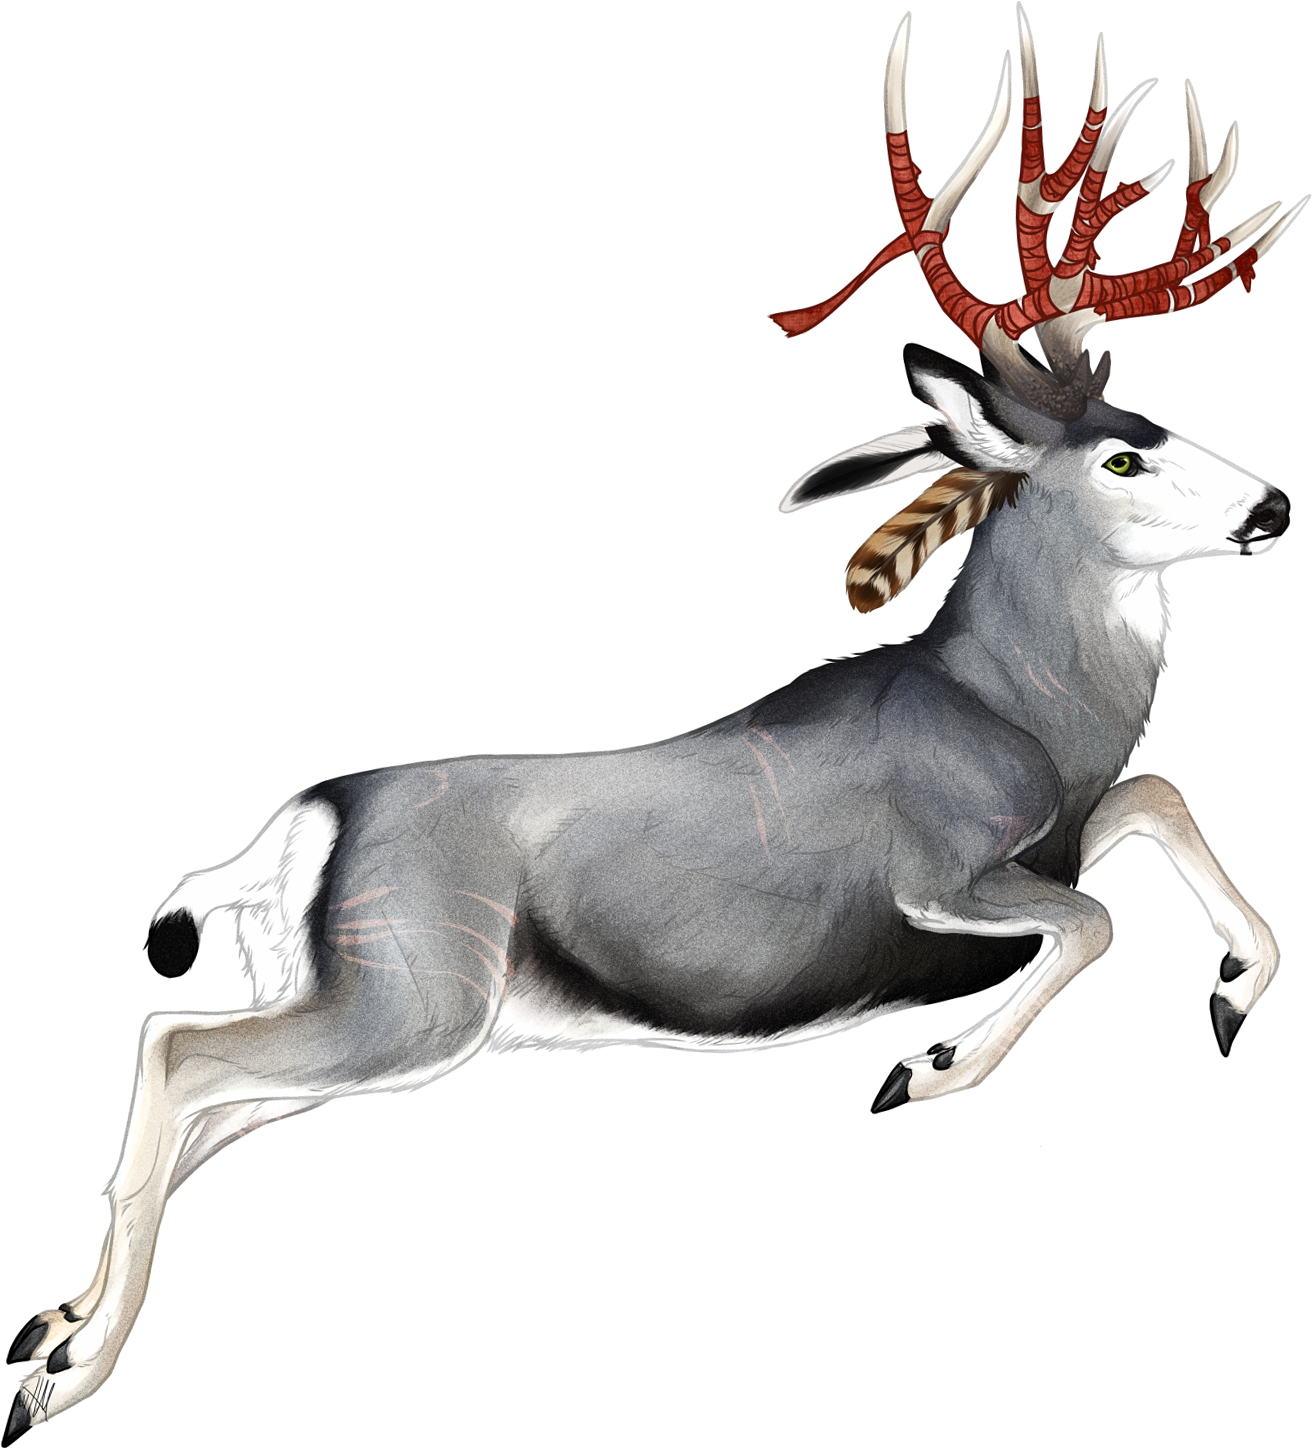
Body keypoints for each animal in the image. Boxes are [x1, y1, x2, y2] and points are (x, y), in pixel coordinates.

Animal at [9, 4, 1299, 1436]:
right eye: (1122, 454)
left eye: (1161, 415)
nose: (1271, 507)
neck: (1015, 705)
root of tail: (306, 820)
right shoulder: (940, 874)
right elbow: (1092, 916)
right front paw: (933, 1065)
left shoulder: (1072, 823)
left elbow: (1155, 800)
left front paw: (1236, 984)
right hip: (419, 998)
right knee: (174, 1046)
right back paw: (65, 1375)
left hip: (355, 997)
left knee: (202, 1105)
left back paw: (54, 1327)